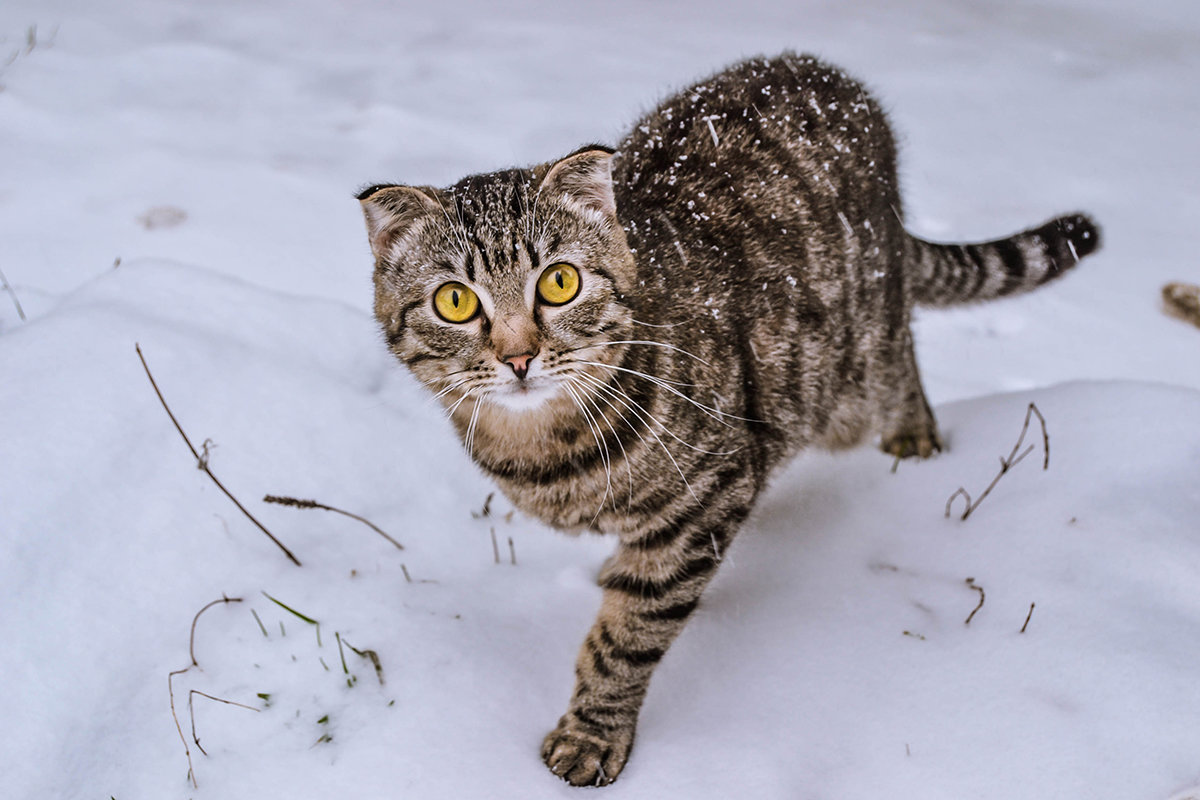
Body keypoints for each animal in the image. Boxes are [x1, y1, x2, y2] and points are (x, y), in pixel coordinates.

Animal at [352, 51, 1099, 786]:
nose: (518, 356)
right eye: (454, 301)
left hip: (856, 364)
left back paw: (914, 443)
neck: (547, 449)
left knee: (901, 366)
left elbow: (626, 637)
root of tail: (840, 81)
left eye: (560, 283)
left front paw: (593, 733)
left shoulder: (708, 496)